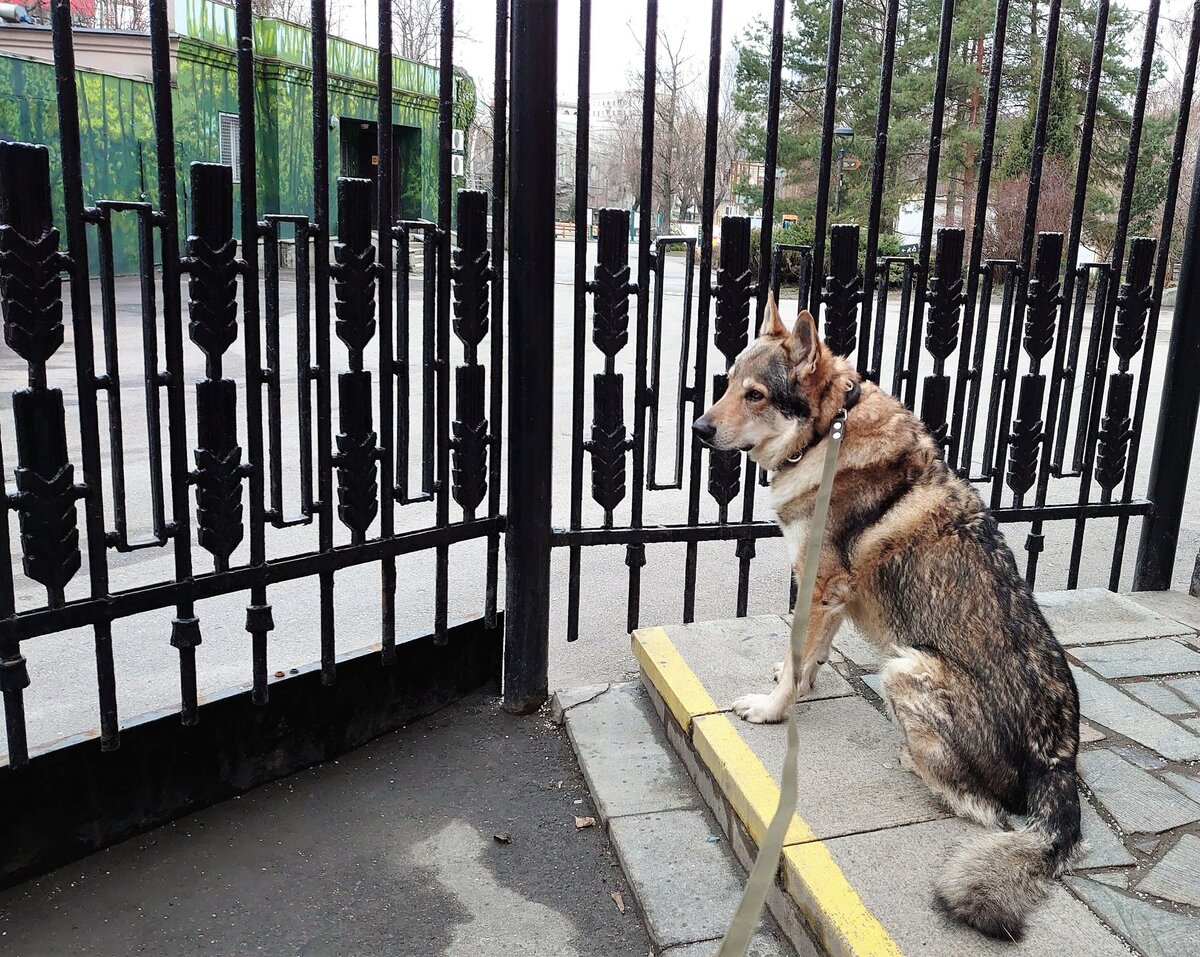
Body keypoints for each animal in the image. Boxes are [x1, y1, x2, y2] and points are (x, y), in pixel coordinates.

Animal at [691, 293, 1084, 945]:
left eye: (756, 394)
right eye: (725, 385)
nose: (699, 428)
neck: (827, 432)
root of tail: (1062, 759)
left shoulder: (820, 584)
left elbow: (795, 662)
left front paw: (772, 711)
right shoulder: (834, 595)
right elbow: (809, 657)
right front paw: (800, 685)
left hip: (904, 667)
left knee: (981, 807)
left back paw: (911, 758)